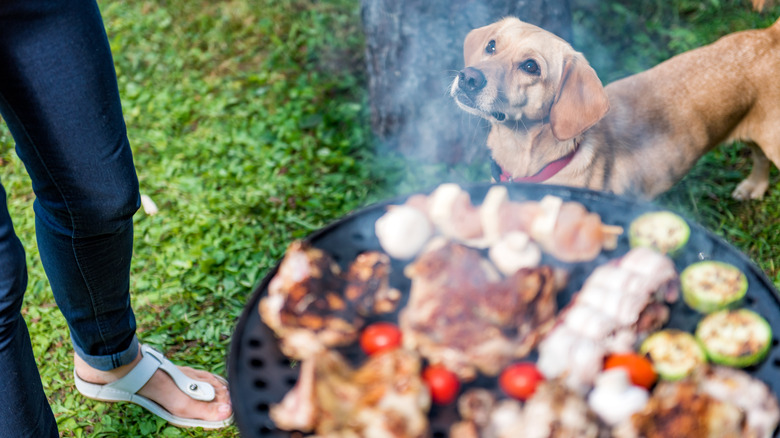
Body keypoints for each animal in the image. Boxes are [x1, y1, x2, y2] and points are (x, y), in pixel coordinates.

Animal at [450, 16, 780, 198]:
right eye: (492, 45)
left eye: (531, 66)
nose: (468, 77)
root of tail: (770, 36)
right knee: (759, 158)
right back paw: (754, 186)